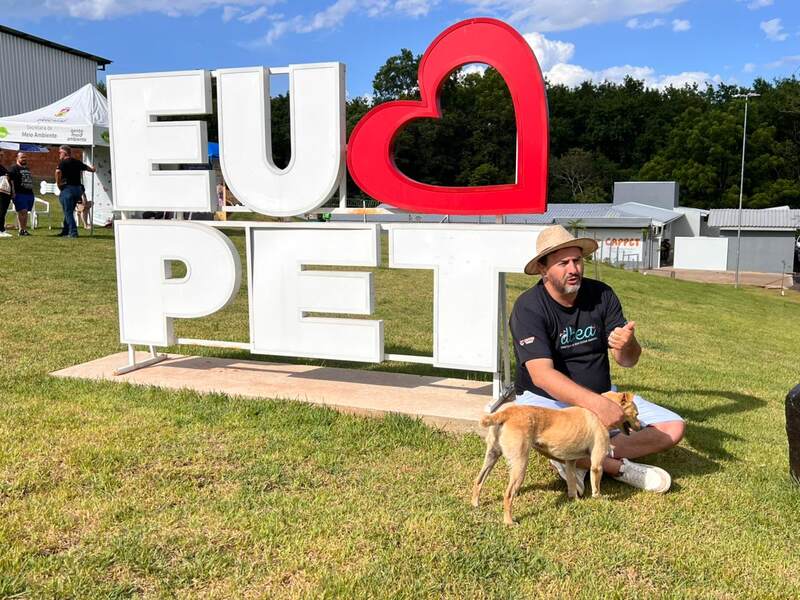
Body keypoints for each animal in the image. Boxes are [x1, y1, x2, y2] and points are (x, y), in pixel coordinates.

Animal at [471, 391, 641, 525]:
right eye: (637, 414)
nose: (640, 427)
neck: (600, 413)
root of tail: (506, 413)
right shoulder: (597, 464)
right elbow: (596, 486)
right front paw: (598, 499)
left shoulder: (570, 462)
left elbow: (572, 483)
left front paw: (575, 500)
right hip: (520, 464)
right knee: (508, 494)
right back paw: (509, 521)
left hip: (492, 454)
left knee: (478, 480)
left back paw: (475, 503)